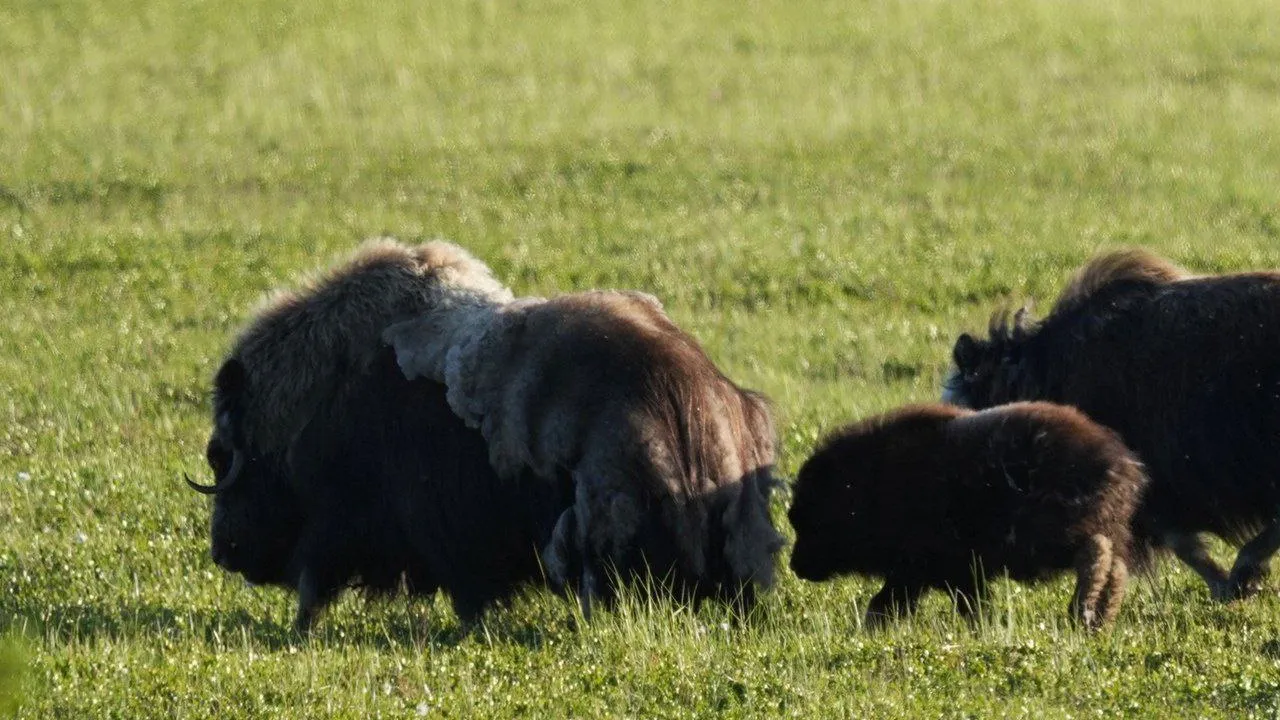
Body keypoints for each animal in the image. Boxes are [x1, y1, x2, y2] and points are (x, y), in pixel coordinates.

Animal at [788, 399, 1152, 625]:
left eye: (810, 521)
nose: (795, 566)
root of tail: (1122, 462)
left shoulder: (933, 568)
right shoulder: (921, 574)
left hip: (1054, 535)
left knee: (1094, 553)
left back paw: (1084, 611)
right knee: (1115, 564)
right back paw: (1099, 618)